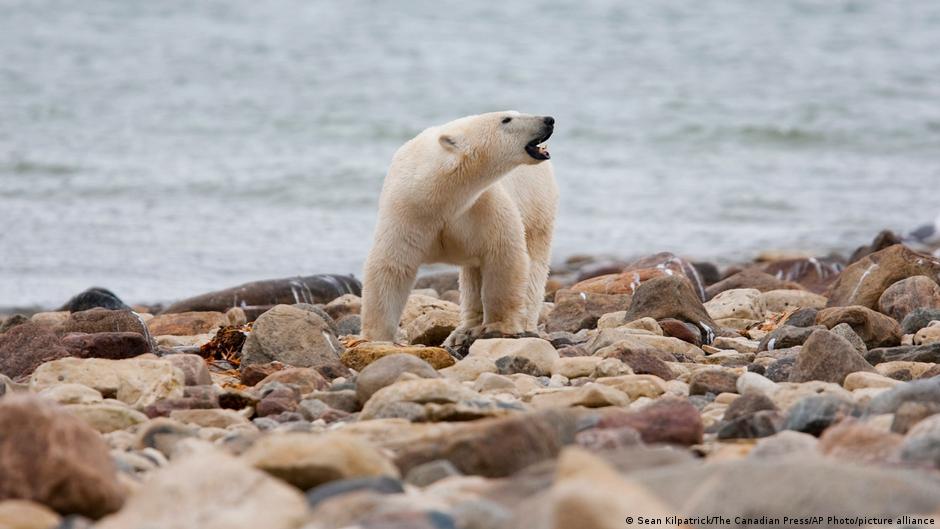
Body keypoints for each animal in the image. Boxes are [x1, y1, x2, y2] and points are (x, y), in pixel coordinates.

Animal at [360, 111, 558, 348]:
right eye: (506, 119)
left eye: (516, 113)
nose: (548, 120)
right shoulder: (407, 211)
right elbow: (392, 266)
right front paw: (377, 337)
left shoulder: (482, 206)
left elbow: (503, 255)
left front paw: (500, 326)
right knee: (472, 275)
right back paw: (463, 331)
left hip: (537, 206)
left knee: (534, 264)